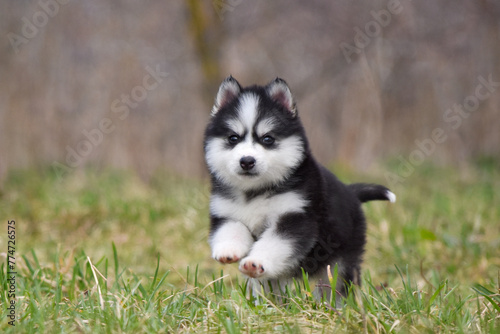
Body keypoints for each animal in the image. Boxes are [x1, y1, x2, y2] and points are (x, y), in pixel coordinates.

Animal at [203, 77, 394, 298]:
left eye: (267, 138)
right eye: (233, 138)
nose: (247, 161)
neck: (256, 191)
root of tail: (350, 192)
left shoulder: (296, 218)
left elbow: (273, 243)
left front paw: (255, 262)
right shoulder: (226, 213)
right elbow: (231, 229)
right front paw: (228, 250)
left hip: (339, 263)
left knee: (335, 286)